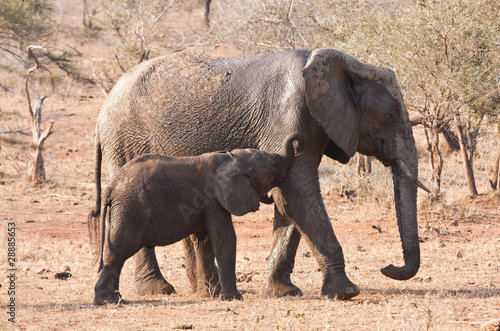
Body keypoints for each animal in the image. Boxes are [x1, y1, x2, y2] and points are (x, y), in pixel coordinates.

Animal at [94, 134, 304, 304]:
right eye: (272, 167)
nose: (299, 142)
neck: (231, 158)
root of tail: (111, 187)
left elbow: (204, 241)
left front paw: (208, 296)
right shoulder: (212, 198)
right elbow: (224, 238)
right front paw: (233, 299)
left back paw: (111, 300)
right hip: (130, 209)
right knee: (120, 248)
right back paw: (109, 301)